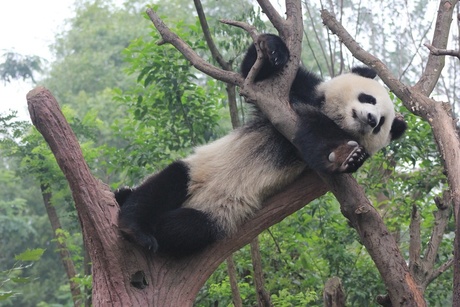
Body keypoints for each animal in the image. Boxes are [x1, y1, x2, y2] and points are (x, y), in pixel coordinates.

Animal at [116, 33, 406, 258]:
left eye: (381, 124)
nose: (371, 119)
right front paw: (273, 49)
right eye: (368, 98)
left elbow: (319, 146)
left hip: (215, 215)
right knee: (165, 184)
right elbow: (255, 76)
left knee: (182, 229)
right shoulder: (294, 94)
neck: (332, 115)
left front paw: (350, 156)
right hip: (198, 171)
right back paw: (133, 220)